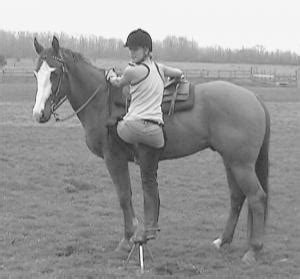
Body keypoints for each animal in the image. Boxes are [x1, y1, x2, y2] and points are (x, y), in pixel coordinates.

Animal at [32, 36, 270, 266]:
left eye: (54, 73)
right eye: (36, 73)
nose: (39, 113)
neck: (103, 102)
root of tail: (254, 98)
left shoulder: (114, 159)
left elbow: (123, 197)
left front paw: (127, 240)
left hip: (241, 164)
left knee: (257, 197)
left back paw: (253, 250)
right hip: (230, 161)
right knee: (237, 197)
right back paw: (223, 241)